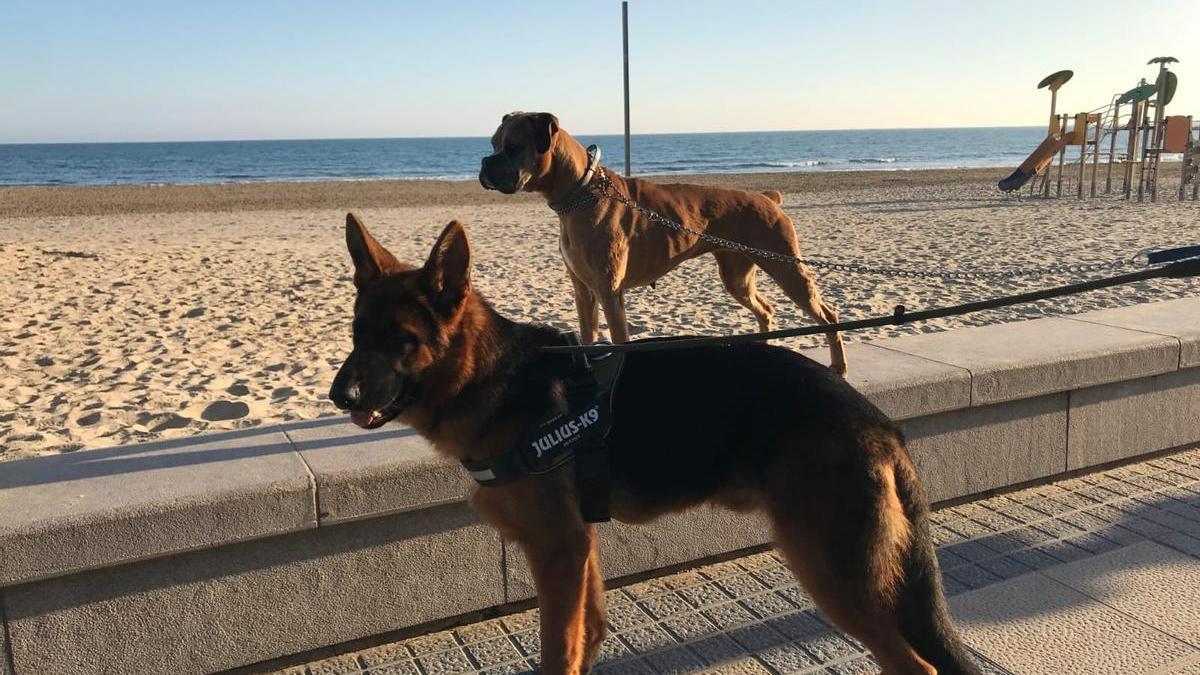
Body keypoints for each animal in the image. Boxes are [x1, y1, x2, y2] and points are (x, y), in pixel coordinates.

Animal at [326, 213, 974, 672]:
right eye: (356, 334)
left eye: (401, 339)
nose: (339, 395)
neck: (492, 375)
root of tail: (880, 423)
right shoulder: (578, 548)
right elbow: (585, 638)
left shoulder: (556, 551)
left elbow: (558, 651)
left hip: (832, 572)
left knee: (917, 666)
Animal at [472, 111, 849, 372]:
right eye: (492, 144)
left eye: (513, 147)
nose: (485, 162)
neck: (579, 193)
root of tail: (769, 198)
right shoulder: (583, 291)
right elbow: (587, 338)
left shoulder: (609, 292)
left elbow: (620, 342)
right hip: (737, 276)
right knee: (766, 309)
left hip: (786, 269)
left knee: (829, 315)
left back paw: (839, 365)